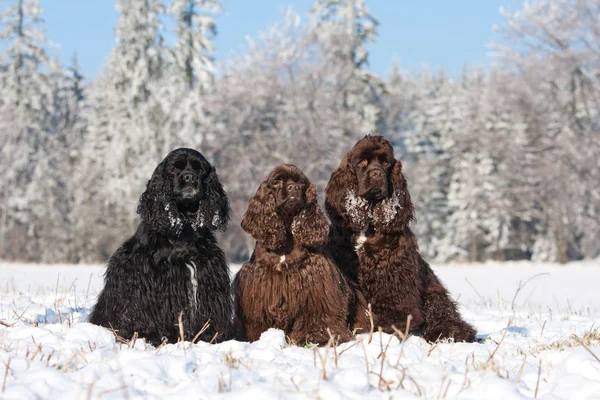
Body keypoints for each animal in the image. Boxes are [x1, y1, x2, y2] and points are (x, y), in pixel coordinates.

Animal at [326, 136, 476, 342]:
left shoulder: (394, 276)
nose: (377, 175)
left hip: (433, 293)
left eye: (386, 163)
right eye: (362, 162)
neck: (368, 224)